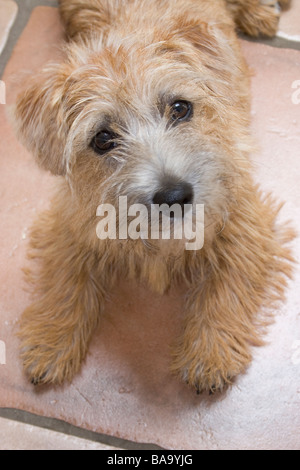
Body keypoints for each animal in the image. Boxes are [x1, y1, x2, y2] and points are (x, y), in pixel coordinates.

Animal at [14, 0, 292, 392]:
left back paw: (260, 14)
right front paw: (50, 341)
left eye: (180, 108)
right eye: (103, 138)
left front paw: (211, 350)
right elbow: (64, 280)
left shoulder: (245, 218)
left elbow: (228, 283)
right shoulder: (69, 221)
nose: (175, 195)